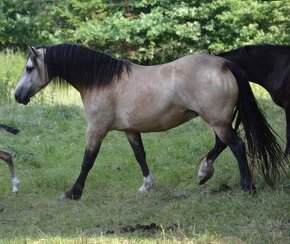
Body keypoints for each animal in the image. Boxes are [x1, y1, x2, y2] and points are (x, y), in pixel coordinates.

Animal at [14, 43, 288, 200]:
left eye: (29, 68)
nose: (17, 96)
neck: (101, 82)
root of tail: (223, 63)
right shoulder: (130, 130)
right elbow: (140, 156)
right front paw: (147, 186)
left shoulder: (96, 129)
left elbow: (87, 161)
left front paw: (73, 193)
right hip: (219, 120)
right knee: (222, 144)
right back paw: (204, 173)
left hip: (217, 120)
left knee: (237, 146)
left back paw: (247, 187)